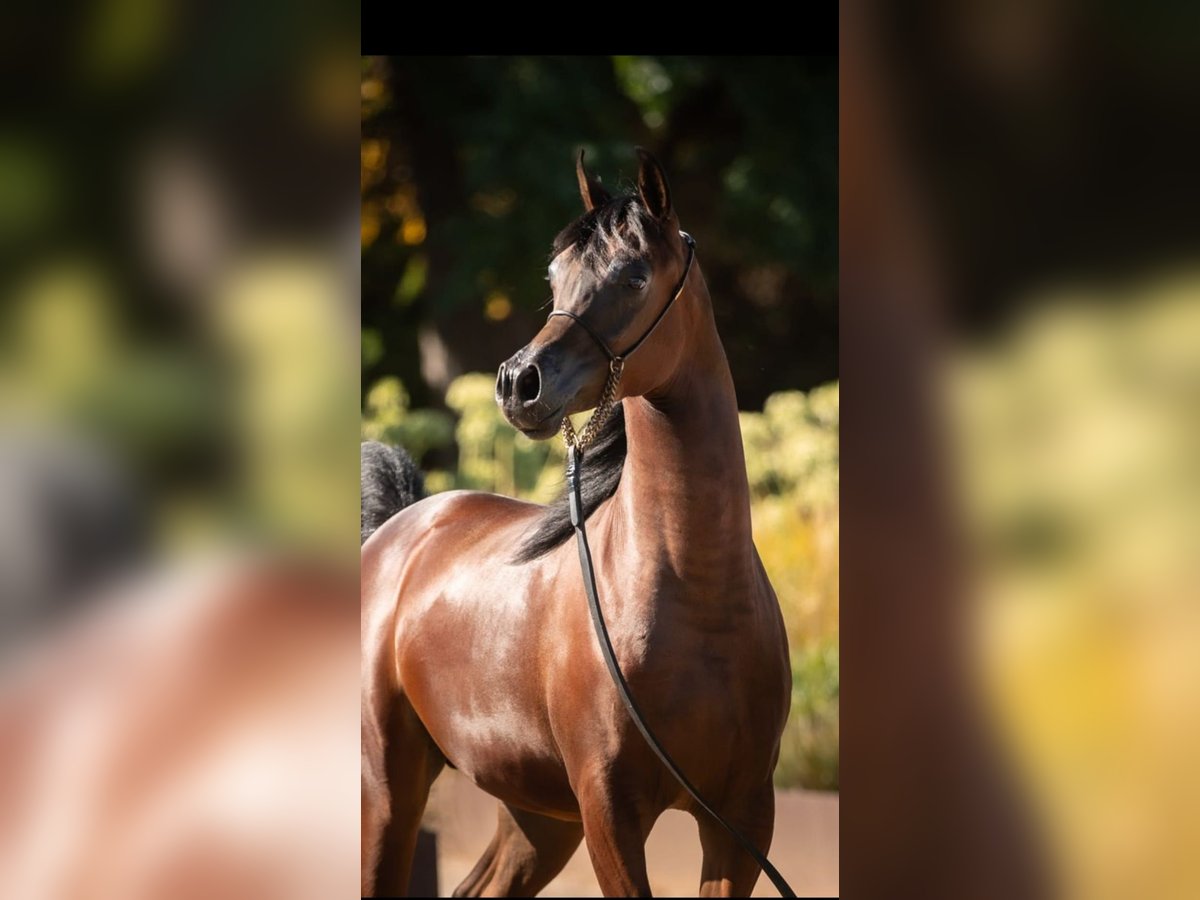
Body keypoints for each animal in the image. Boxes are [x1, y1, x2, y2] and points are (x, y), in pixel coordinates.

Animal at [364, 150, 796, 900]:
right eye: (555, 278)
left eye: (634, 276)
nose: (518, 383)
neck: (698, 601)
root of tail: (398, 528)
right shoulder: (610, 811)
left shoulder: (742, 817)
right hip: (391, 790)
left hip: (537, 813)